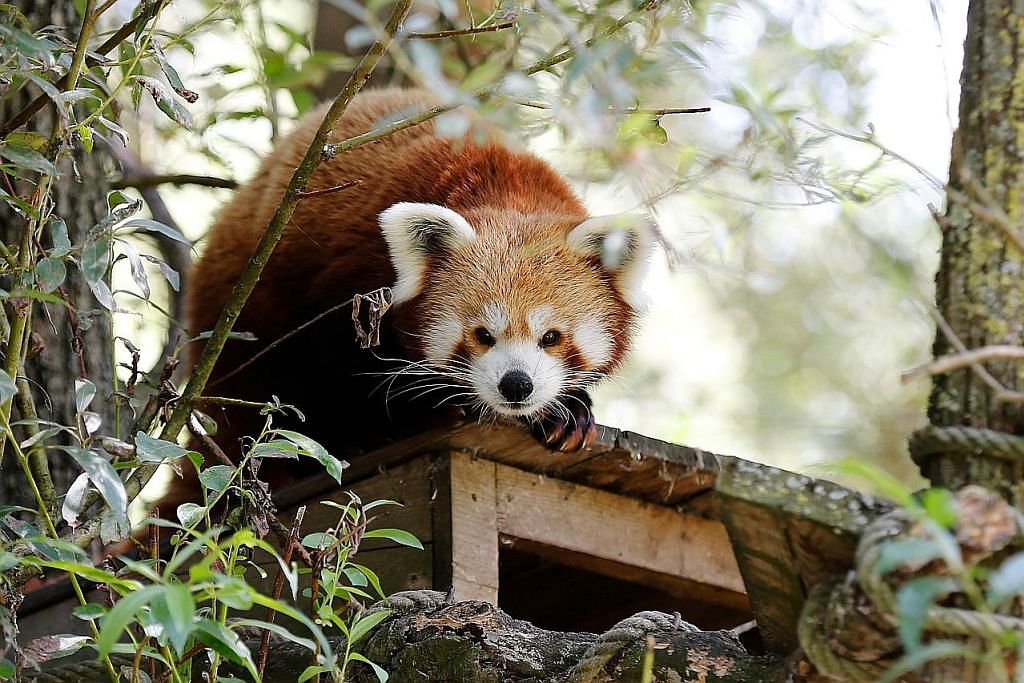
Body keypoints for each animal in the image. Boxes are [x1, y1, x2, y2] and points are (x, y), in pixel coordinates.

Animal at [182, 89, 647, 497]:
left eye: (551, 337)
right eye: (482, 335)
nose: (517, 386)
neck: (510, 189)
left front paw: (569, 412)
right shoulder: (348, 275)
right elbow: (340, 365)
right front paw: (406, 417)